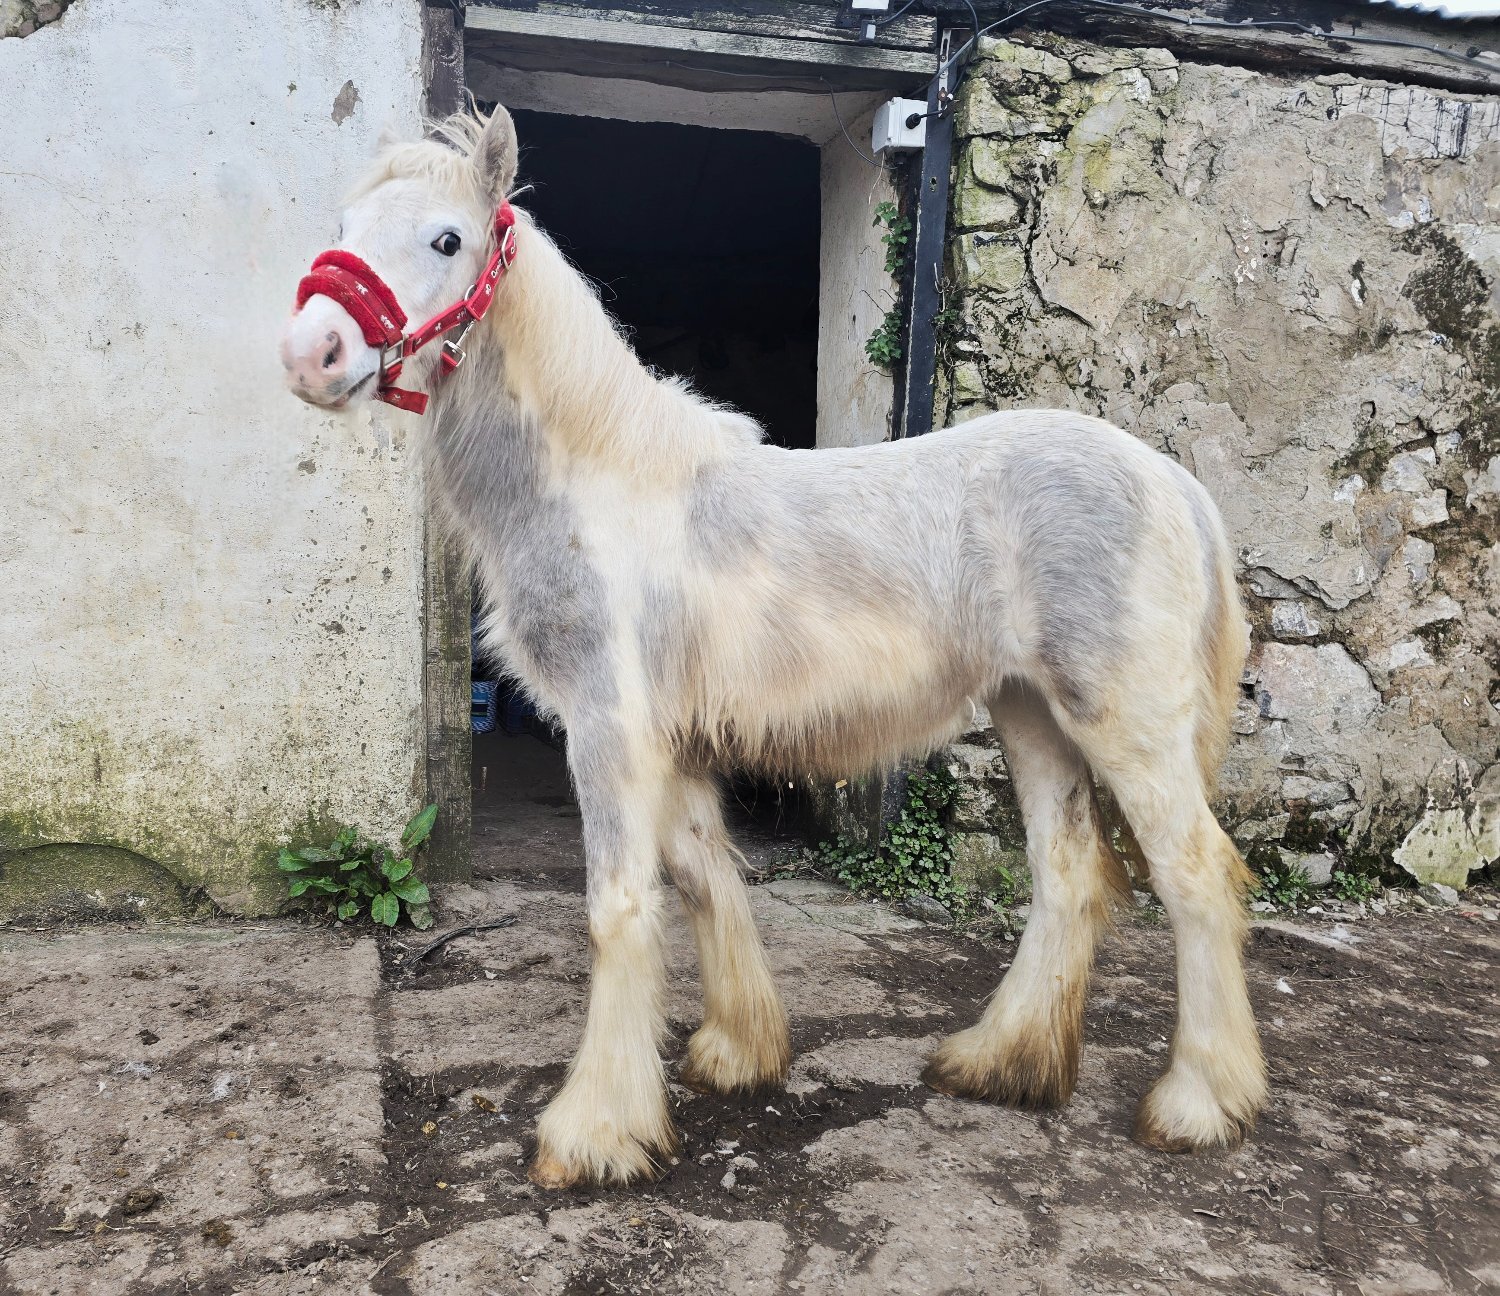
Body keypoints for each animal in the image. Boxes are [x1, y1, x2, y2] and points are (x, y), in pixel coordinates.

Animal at [280, 106, 1267, 1188]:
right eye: (345, 224)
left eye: (447, 240)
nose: (311, 353)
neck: (597, 479)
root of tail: (1173, 481)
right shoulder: (669, 741)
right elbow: (706, 878)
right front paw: (734, 1053)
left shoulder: (609, 730)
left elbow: (621, 906)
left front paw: (593, 1132)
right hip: (1031, 714)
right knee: (1066, 874)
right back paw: (1000, 1062)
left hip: (1125, 722)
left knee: (1196, 877)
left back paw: (1200, 1103)